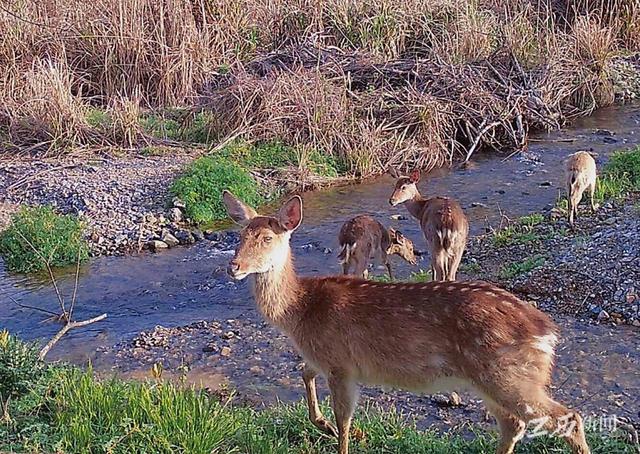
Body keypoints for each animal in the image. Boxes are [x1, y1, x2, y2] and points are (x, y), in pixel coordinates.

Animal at [224, 190, 592, 454]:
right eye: (240, 236)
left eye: (267, 238)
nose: (234, 267)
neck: (299, 310)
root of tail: (548, 332)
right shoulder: (322, 358)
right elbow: (304, 373)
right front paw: (321, 423)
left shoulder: (341, 363)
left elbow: (345, 421)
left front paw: (334, 430)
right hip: (495, 378)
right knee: (514, 424)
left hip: (509, 375)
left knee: (568, 418)